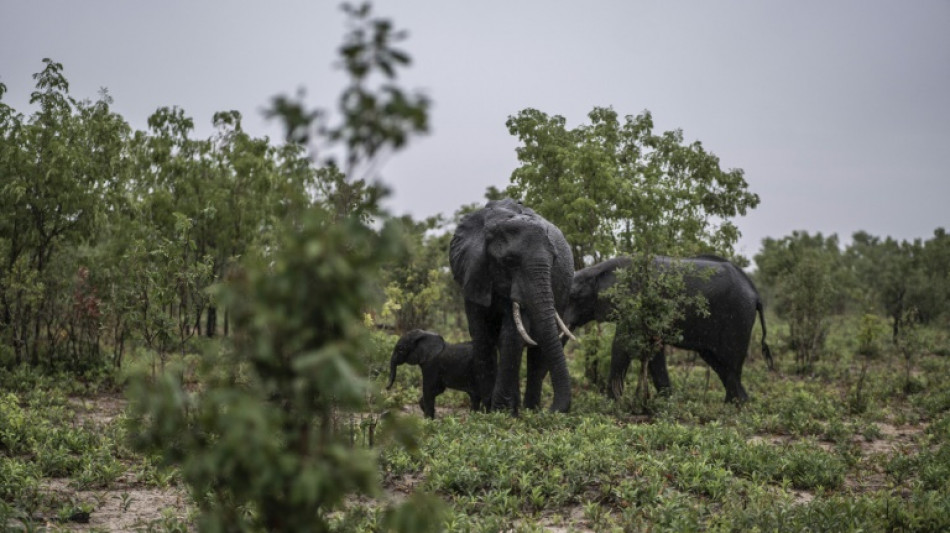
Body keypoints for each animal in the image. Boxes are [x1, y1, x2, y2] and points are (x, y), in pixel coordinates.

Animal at [450, 197, 576, 414]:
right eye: (509, 261)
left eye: (554, 260)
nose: (552, 410)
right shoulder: (473, 273)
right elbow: (481, 335)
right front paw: (489, 411)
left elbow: (512, 336)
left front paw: (499, 411)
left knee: (538, 350)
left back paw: (530, 410)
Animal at [564, 256, 772, 402]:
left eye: (574, 297)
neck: (598, 270)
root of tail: (756, 294)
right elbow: (653, 351)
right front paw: (666, 401)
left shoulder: (635, 303)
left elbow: (622, 345)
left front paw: (610, 403)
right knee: (717, 361)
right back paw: (737, 403)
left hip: (738, 316)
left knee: (730, 361)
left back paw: (734, 405)